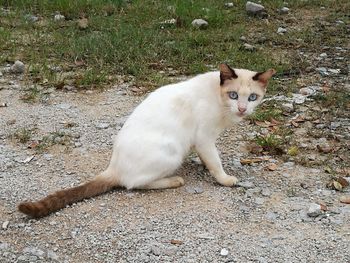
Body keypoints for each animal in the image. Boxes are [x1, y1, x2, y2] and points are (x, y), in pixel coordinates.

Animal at [18, 64, 276, 219]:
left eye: (253, 98)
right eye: (233, 95)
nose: (242, 109)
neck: (220, 101)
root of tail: (113, 166)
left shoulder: (202, 143)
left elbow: (208, 160)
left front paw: (204, 167)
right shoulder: (205, 138)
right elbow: (216, 163)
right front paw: (224, 179)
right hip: (173, 152)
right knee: (133, 184)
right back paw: (174, 180)